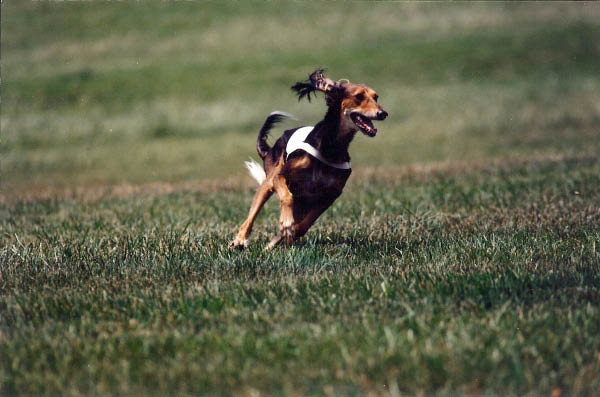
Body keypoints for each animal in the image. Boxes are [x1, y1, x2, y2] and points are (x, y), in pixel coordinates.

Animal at [230, 68, 390, 248]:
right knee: (250, 219)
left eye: (376, 97)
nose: (383, 113)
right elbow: (287, 197)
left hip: (304, 202)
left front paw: (288, 232)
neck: (330, 147)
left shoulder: (330, 195)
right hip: (268, 183)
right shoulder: (281, 176)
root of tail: (270, 149)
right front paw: (286, 223)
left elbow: (304, 225)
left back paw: (272, 245)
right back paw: (240, 240)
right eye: (359, 96)